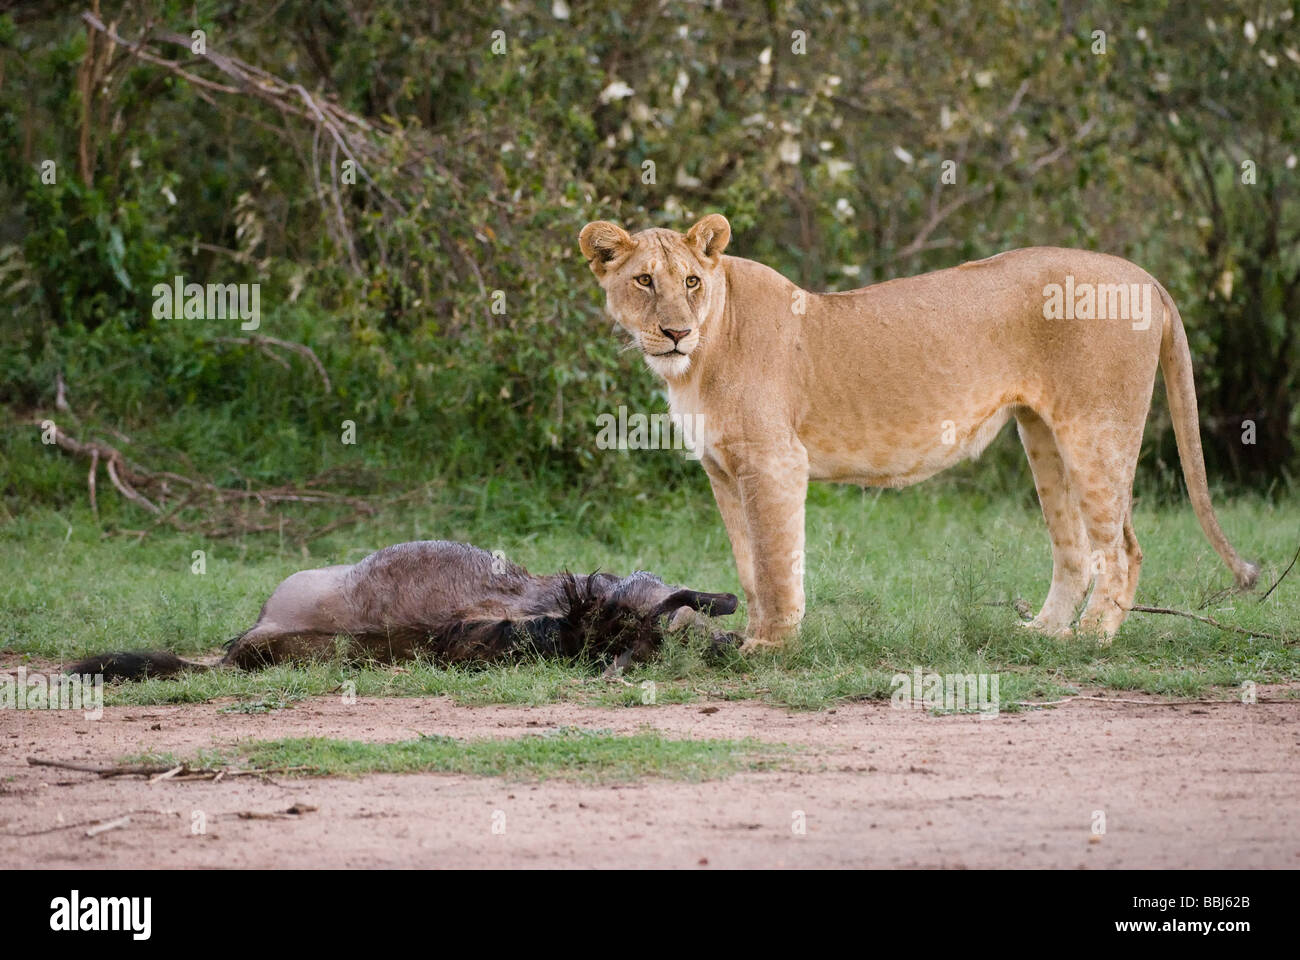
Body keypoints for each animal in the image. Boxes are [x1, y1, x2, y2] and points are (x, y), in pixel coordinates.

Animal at [579, 213, 1258, 649]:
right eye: (644, 281)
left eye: (691, 281)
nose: (675, 332)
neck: (700, 358)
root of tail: (1146, 277)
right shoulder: (723, 470)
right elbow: (749, 564)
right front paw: (750, 635)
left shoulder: (774, 462)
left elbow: (774, 561)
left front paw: (769, 647)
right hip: (1044, 435)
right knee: (1075, 550)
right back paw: (1043, 633)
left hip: (1095, 431)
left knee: (1121, 548)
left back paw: (1092, 639)